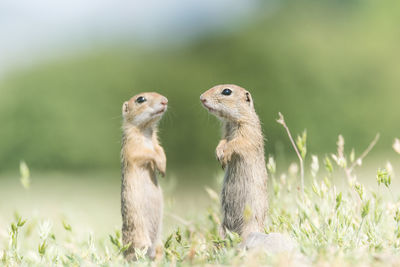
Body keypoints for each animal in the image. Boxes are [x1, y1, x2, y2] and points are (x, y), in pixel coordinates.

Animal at [120, 92, 167, 262]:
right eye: (140, 99)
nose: (165, 100)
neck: (146, 130)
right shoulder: (133, 147)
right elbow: (147, 154)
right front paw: (160, 165)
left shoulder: (157, 142)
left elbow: (160, 150)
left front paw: (162, 169)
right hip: (139, 237)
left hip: (158, 243)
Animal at [200, 85, 268, 240]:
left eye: (227, 91)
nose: (201, 98)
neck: (232, 120)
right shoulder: (226, 132)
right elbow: (223, 141)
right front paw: (219, 153)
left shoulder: (247, 130)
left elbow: (238, 143)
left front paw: (224, 155)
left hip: (250, 225)